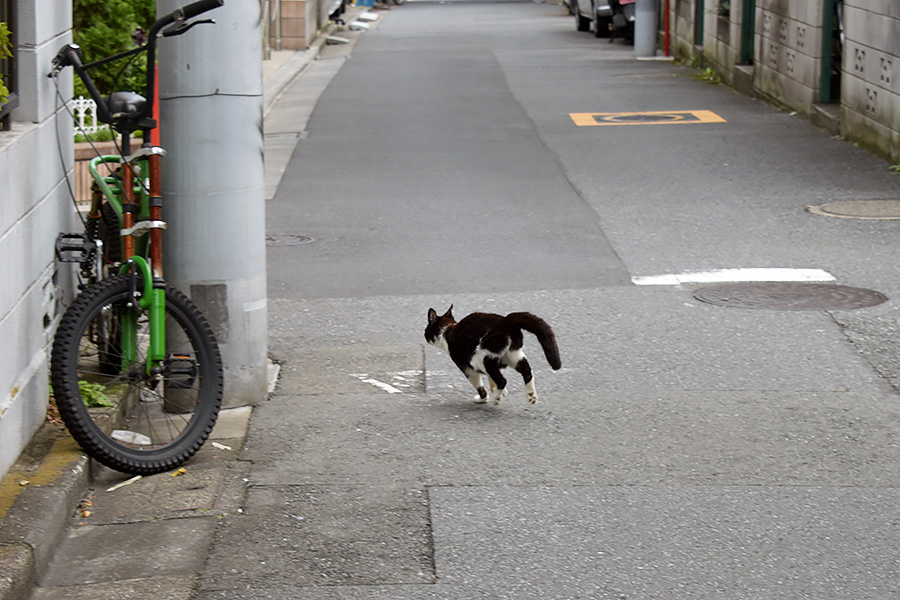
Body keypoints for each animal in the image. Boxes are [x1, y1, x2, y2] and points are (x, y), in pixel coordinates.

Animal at [424, 308, 564, 406]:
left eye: (426, 329)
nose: (424, 334)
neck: (447, 330)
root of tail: (505, 321)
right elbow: (490, 377)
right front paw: (499, 390)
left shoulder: (467, 368)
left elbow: (480, 386)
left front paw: (484, 398)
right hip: (513, 355)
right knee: (527, 371)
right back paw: (530, 396)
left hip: (480, 356)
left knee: (502, 379)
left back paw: (497, 398)